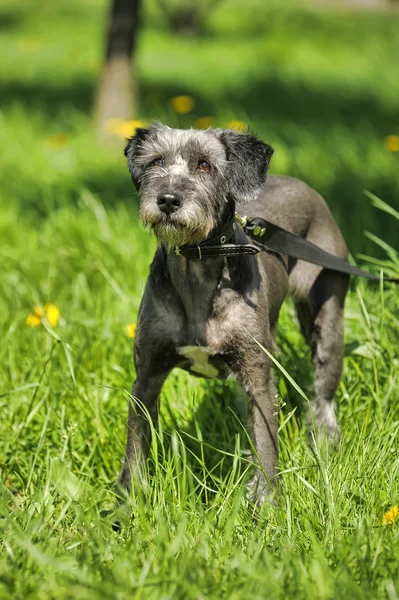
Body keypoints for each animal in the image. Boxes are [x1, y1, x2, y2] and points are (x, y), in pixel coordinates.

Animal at [119, 123, 350, 506]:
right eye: (156, 161)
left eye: (204, 165)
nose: (167, 199)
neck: (197, 269)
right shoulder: (147, 377)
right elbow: (135, 450)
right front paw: (127, 506)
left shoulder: (258, 378)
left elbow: (267, 445)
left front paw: (268, 504)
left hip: (327, 320)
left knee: (323, 396)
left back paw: (324, 442)